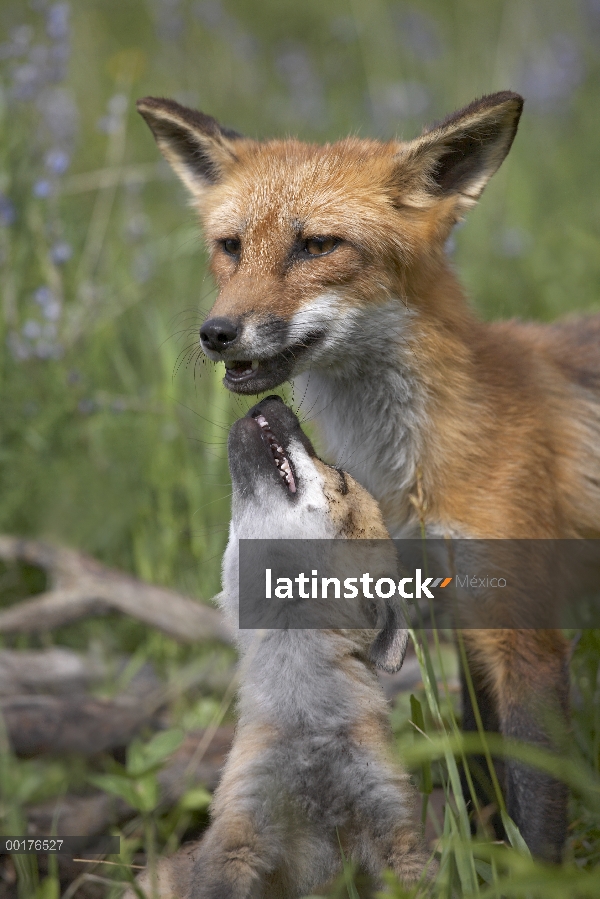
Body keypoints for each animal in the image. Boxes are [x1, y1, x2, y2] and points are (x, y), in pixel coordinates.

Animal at [136, 93, 600, 864]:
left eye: (317, 246)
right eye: (231, 245)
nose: (217, 332)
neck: (414, 465)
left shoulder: (524, 631)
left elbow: (534, 815)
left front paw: (531, 875)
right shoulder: (460, 616)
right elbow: (483, 783)